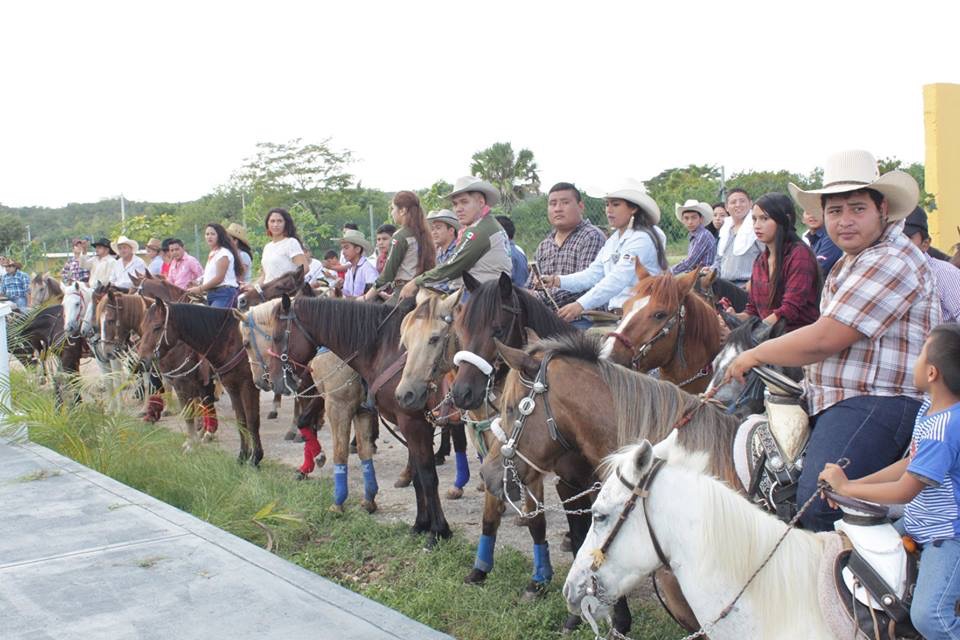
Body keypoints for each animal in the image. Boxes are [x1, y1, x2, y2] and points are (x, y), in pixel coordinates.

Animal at [135, 300, 262, 464]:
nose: (142, 362)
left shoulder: (246, 385)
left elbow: (251, 420)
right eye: (143, 327)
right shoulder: (216, 385)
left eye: (157, 327)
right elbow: (234, 418)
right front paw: (198, 437)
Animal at [266, 296, 454, 544]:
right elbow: (409, 471)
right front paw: (419, 523)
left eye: (277, 337)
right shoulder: (371, 412)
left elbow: (426, 474)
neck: (381, 349)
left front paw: (439, 530)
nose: (273, 380)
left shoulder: (349, 407)